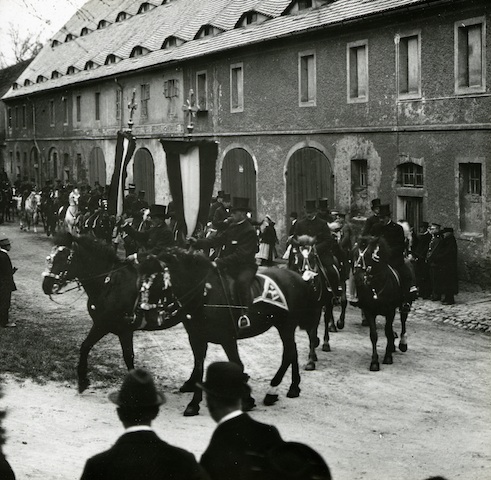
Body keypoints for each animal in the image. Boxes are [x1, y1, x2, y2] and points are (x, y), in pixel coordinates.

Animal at [42, 235, 320, 416]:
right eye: (50, 257)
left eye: (63, 256)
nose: (46, 285)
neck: (110, 282)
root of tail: (298, 277)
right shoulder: (121, 329)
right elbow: (115, 354)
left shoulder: (108, 325)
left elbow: (90, 348)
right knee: (292, 352)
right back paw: (292, 387)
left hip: (285, 325)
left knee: (288, 352)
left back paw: (276, 390)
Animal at [290, 236, 348, 372]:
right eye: (298, 258)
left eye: (312, 258)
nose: (309, 279)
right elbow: (309, 331)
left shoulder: (315, 309)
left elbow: (312, 333)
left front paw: (311, 361)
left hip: (329, 302)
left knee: (326, 319)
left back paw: (326, 343)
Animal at [352, 236, 410, 372]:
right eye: (355, 253)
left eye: (368, 255)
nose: (357, 277)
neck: (377, 285)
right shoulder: (369, 312)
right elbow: (374, 335)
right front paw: (374, 362)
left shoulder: (390, 312)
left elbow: (387, 332)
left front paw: (388, 357)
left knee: (403, 320)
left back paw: (402, 343)